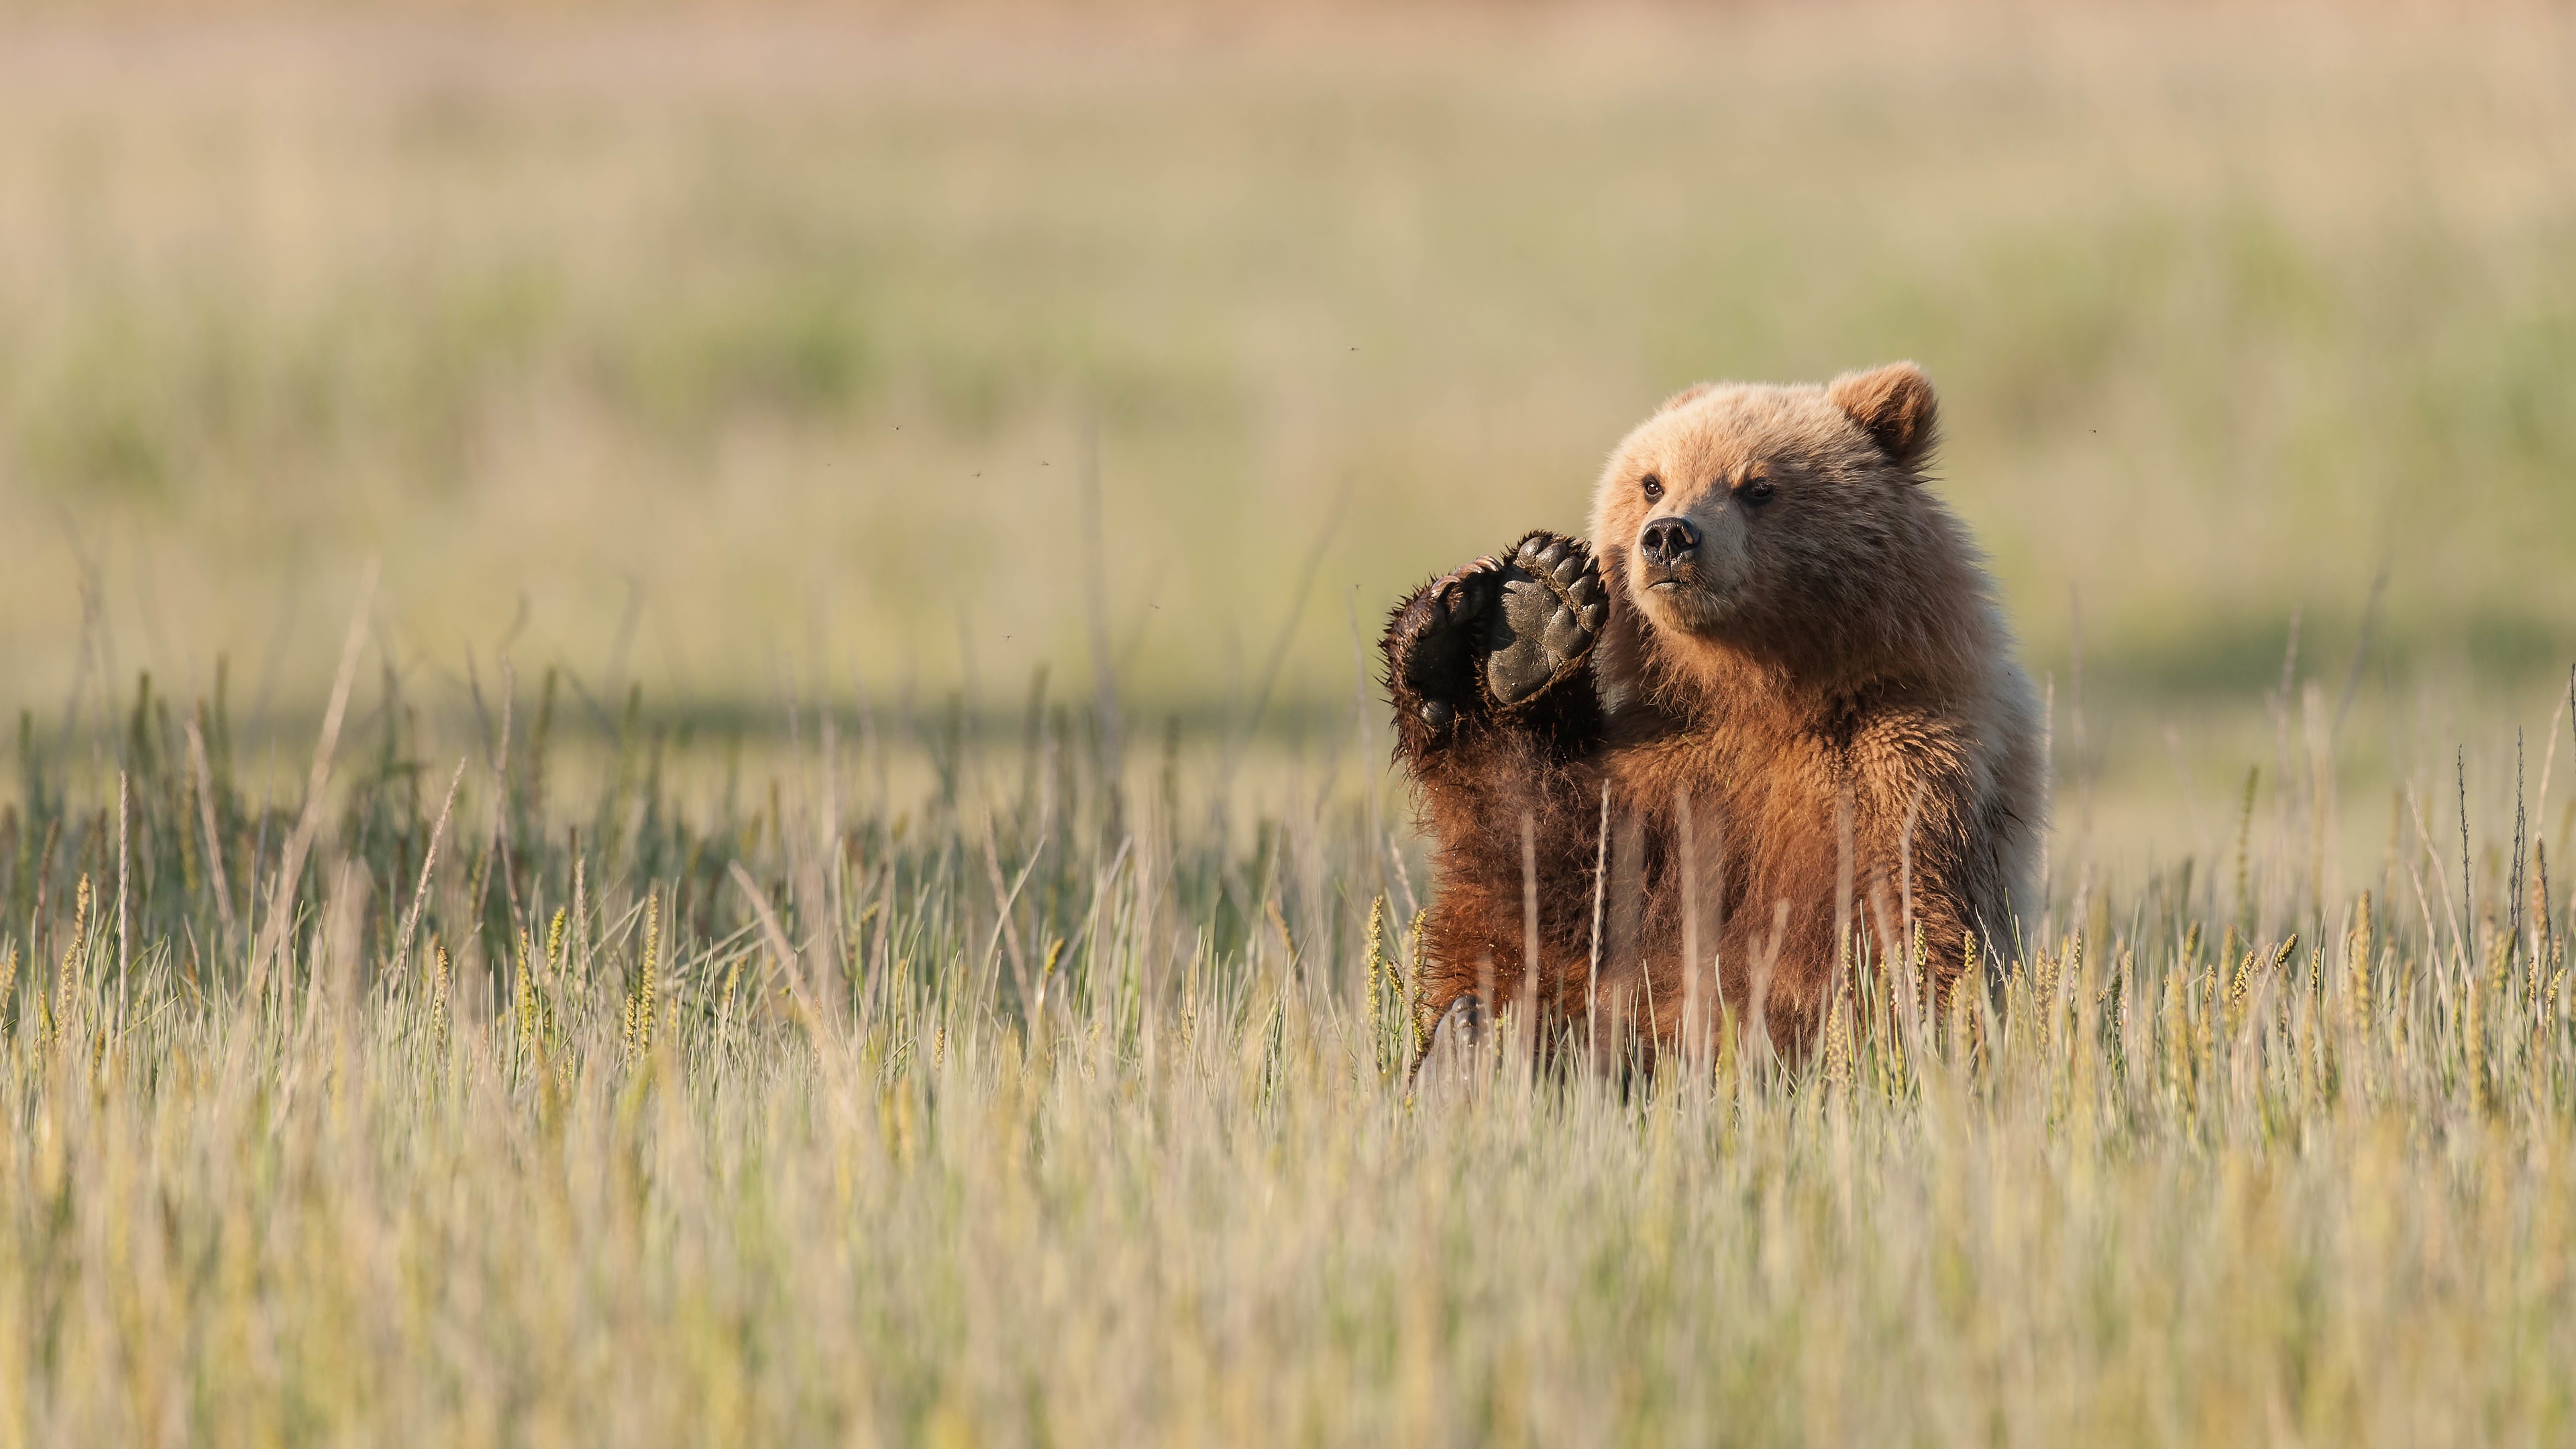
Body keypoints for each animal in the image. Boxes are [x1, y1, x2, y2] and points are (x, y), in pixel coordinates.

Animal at [1381, 361, 2040, 1062]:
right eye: (1653, 481)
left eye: (1758, 486)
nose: (1670, 535)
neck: (1764, 692)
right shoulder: (1665, 775)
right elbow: (1545, 894)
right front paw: (1531, 613)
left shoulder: (1898, 769)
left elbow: (1894, 935)